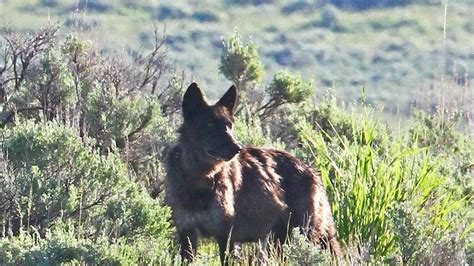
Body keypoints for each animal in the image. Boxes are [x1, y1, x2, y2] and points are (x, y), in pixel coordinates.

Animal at [164, 82, 340, 264]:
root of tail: (313, 172)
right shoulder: (187, 233)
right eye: (209, 125)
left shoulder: (226, 237)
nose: (238, 148)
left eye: (229, 125)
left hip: (300, 236)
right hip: (278, 241)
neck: (199, 180)